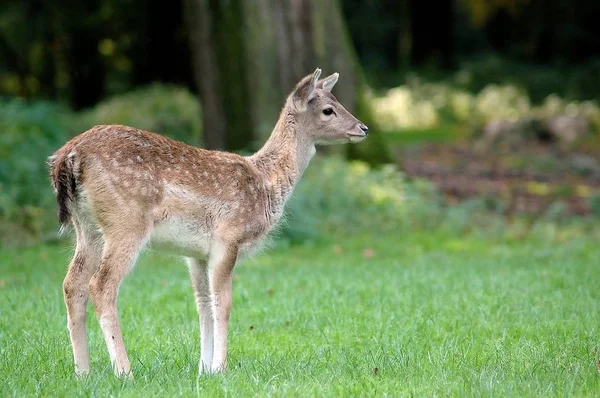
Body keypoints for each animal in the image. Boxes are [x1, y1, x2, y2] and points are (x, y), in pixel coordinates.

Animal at [50, 68, 370, 380]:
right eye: (329, 109)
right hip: (126, 222)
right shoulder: (228, 238)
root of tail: (67, 157)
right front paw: (220, 367)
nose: (363, 128)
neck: (266, 183)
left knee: (72, 284)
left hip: (87, 228)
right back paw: (124, 372)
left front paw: (203, 369)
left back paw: (83, 373)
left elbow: (203, 304)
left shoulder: (195, 253)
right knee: (101, 285)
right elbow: (224, 303)